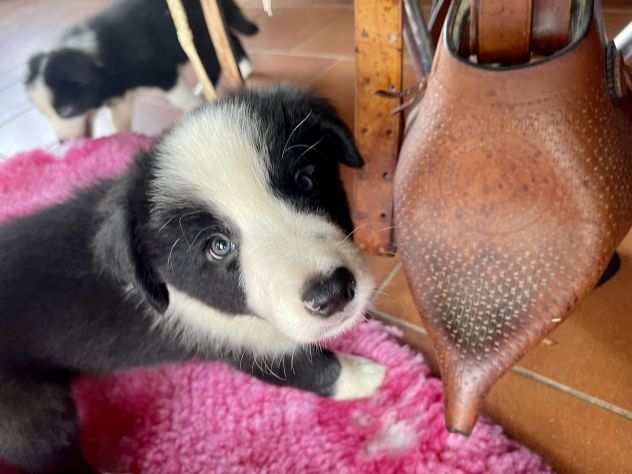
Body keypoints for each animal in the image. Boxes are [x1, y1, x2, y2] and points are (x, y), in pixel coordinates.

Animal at [0, 86, 386, 474]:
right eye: (218, 246)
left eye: (306, 182)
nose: (332, 293)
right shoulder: (236, 340)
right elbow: (312, 370)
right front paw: (368, 376)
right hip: (28, 414)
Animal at [23, 0, 258, 141]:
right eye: (45, 114)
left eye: (65, 111)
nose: (63, 142)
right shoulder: (120, 95)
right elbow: (121, 119)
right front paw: (120, 139)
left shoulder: (161, 73)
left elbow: (180, 98)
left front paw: (195, 108)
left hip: (198, 34)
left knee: (220, 50)